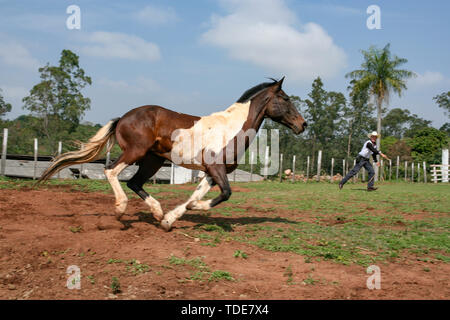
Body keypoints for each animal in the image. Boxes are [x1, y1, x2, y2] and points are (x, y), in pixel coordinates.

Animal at [38, 77, 308, 230]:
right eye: (285, 98)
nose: (303, 124)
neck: (231, 128)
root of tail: (123, 118)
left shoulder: (209, 173)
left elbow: (195, 196)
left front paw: (170, 220)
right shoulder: (216, 168)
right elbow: (225, 194)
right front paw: (193, 209)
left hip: (153, 160)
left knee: (134, 182)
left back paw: (157, 212)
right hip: (135, 152)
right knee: (111, 171)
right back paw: (121, 209)